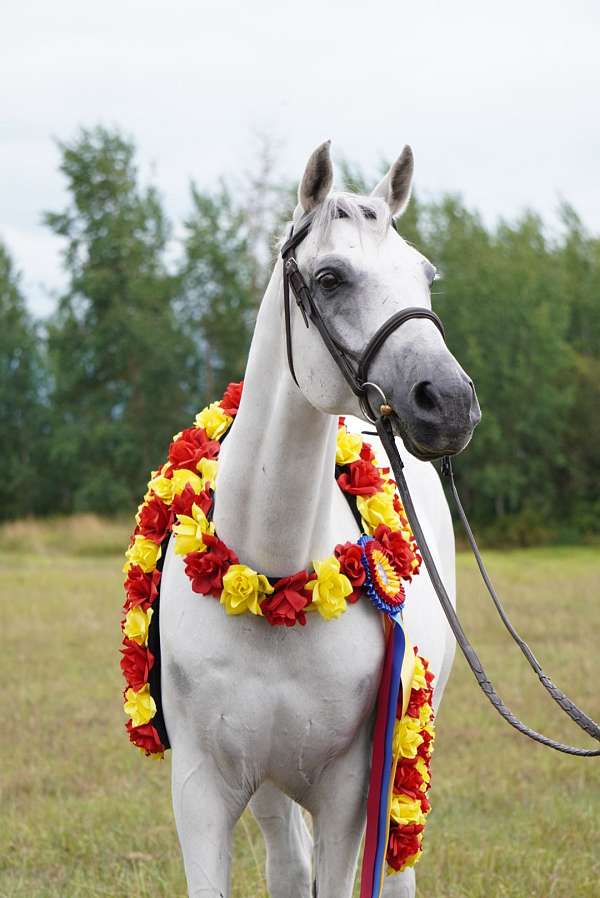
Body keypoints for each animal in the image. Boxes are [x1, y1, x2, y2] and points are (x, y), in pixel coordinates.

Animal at [157, 144, 480, 892]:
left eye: (425, 274)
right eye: (330, 278)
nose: (449, 401)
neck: (272, 573)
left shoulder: (350, 792)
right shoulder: (202, 793)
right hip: (270, 791)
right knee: (286, 863)